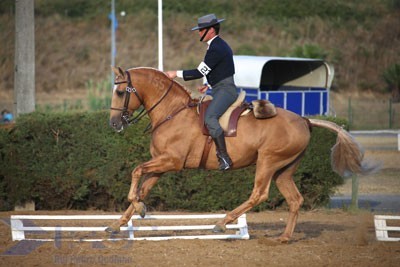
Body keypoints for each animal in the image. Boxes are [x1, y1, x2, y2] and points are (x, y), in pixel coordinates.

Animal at [108, 66, 376, 243]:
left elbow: (136, 171)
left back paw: (222, 223)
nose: (113, 124)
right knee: (294, 200)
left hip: (268, 161)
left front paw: (136, 208)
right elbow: (142, 187)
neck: (172, 112)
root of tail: (304, 119)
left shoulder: (171, 162)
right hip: (284, 170)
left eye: (120, 93)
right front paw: (119, 223)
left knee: (259, 194)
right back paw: (284, 237)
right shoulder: (161, 165)